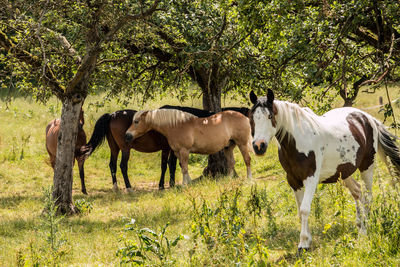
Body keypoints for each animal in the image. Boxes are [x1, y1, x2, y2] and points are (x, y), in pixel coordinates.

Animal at [125, 109, 253, 184]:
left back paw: (249, 180)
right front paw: (188, 182)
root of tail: (245, 117)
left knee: (247, 160)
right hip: (229, 147)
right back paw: (229, 179)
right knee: (231, 163)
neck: (176, 125)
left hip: (242, 144)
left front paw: (185, 185)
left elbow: (185, 168)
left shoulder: (184, 151)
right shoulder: (177, 152)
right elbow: (183, 166)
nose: (127, 135)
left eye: (136, 121)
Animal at [250, 89, 400, 253]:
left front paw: (303, 244)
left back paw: (363, 232)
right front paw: (306, 240)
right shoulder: (293, 180)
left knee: (368, 196)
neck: (299, 141)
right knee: (357, 191)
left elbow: (304, 209)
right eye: (252, 117)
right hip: (343, 172)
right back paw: (359, 224)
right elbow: (300, 210)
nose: (259, 146)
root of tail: (367, 117)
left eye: (270, 116)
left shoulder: (311, 179)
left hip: (367, 166)